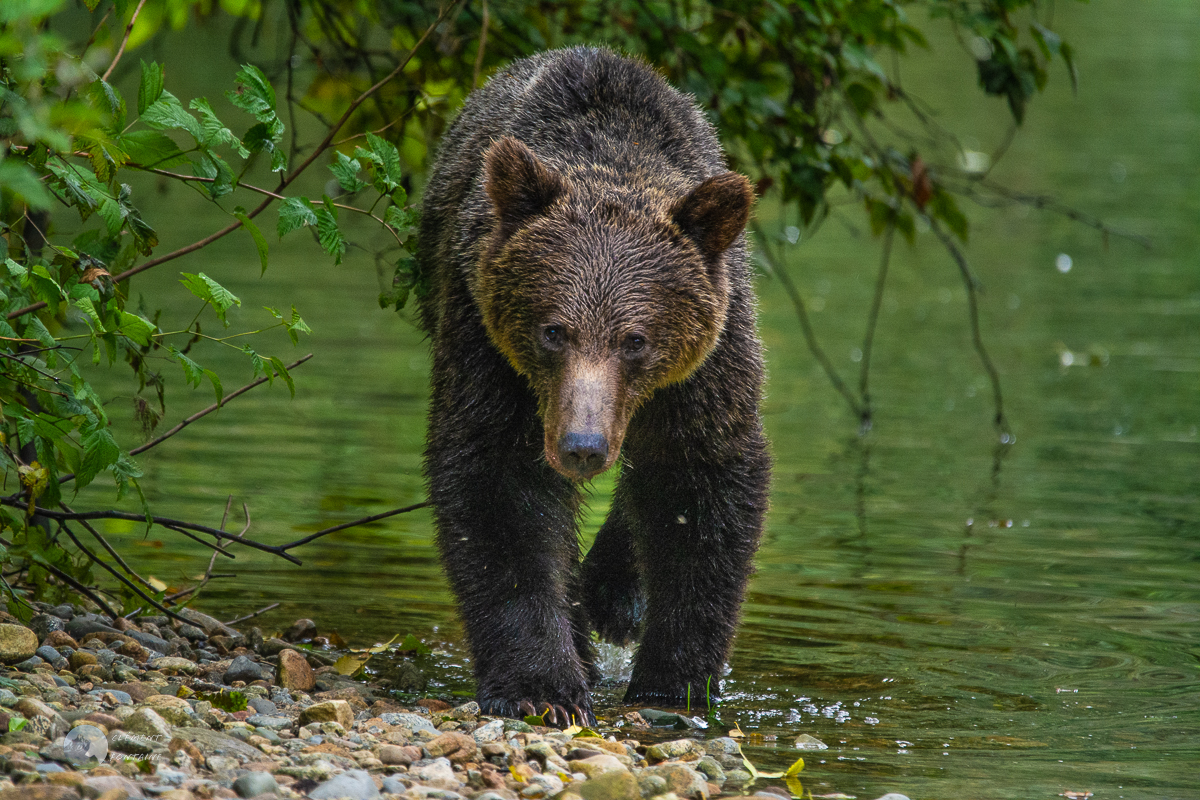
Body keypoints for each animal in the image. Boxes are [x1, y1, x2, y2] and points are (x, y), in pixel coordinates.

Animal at [415, 47, 768, 729]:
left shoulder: (708, 368)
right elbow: (501, 492)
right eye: (554, 330)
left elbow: (700, 489)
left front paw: (674, 680)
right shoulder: (486, 346)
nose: (582, 446)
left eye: (635, 340)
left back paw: (612, 595)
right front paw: (541, 684)